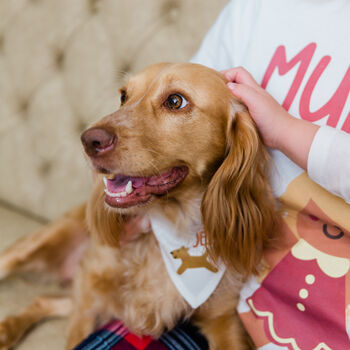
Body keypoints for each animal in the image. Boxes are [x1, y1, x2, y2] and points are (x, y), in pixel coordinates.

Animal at [0, 63, 274, 350]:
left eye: (175, 101)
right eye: (123, 96)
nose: (88, 140)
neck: (174, 224)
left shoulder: (223, 320)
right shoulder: (90, 296)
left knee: (46, 299)